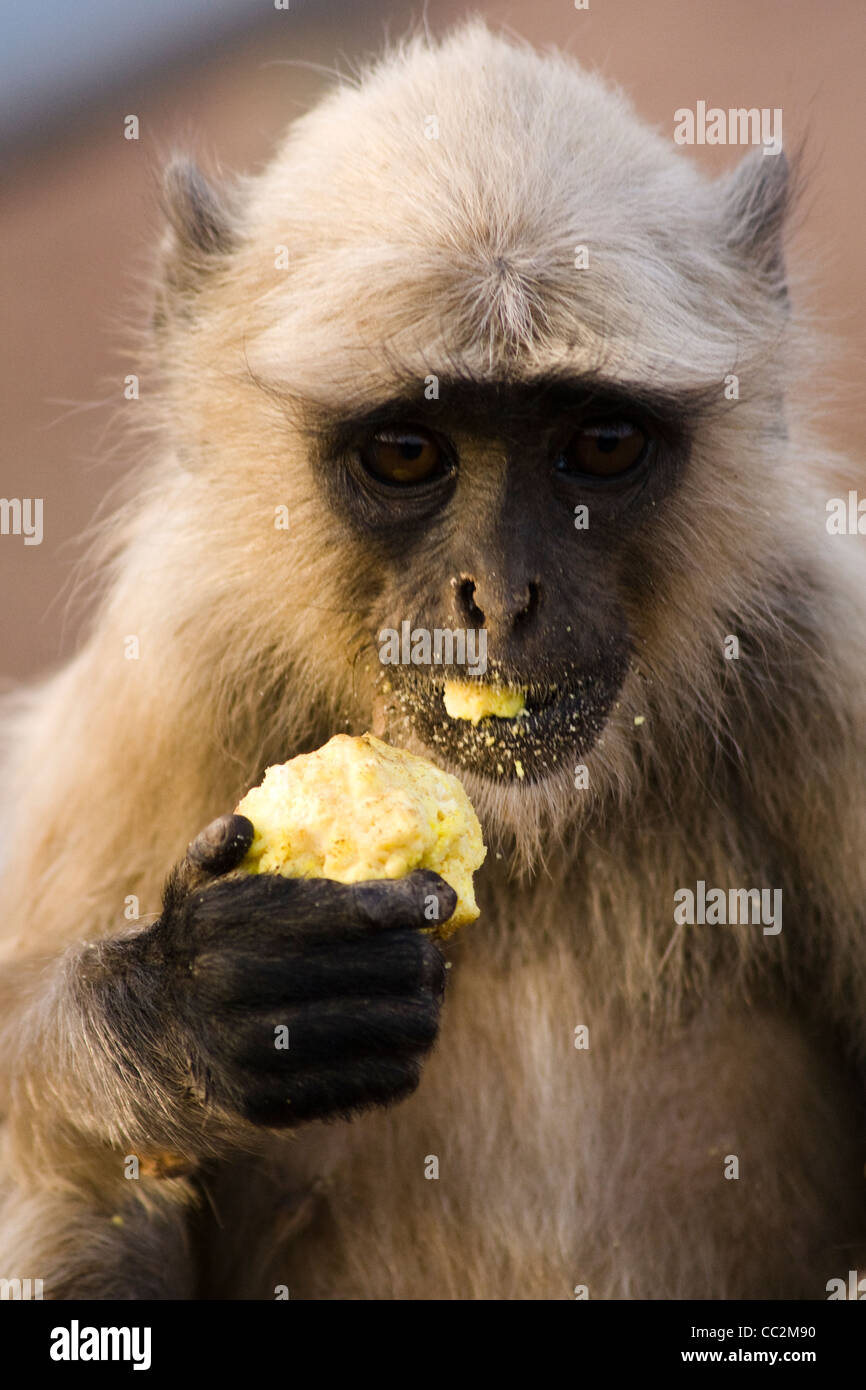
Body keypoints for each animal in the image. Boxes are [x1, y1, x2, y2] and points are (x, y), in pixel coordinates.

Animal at [1, 24, 866, 1301]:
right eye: (407, 452)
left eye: (600, 444)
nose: (498, 596)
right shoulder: (173, 673)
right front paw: (185, 1005)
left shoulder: (822, 656)